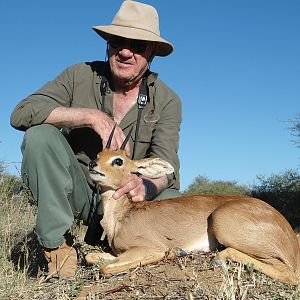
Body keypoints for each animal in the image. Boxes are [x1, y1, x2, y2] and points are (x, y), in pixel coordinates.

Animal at [84, 126, 300, 284]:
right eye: (98, 154)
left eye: (118, 160)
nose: (92, 165)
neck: (120, 217)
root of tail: (290, 237)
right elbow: (92, 258)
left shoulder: (146, 248)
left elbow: (105, 268)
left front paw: (174, 251)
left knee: (290, 275)